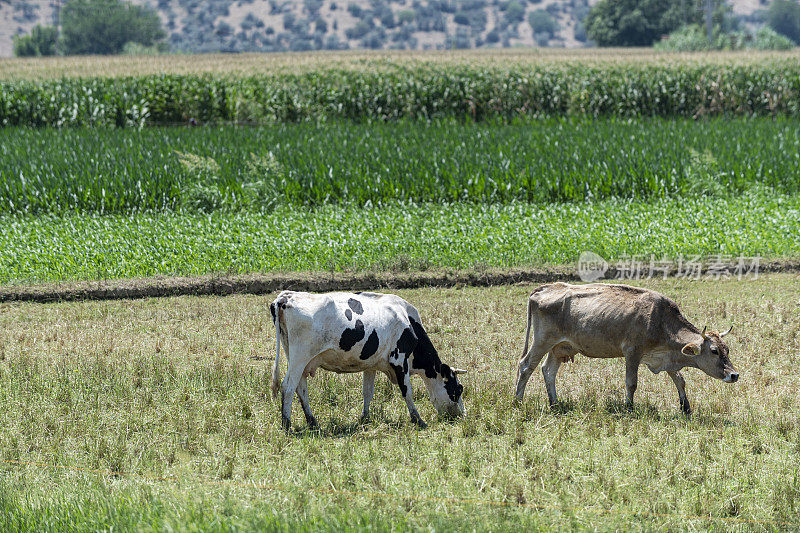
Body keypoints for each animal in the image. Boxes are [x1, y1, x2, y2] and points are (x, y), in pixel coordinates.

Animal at [272, 288, 466, 430]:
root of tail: (287, 296)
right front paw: (418, 419)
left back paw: (312, 421)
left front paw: (364, 418)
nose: (461, 416)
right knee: (288, 387)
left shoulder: (371, 365)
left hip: (297, 358)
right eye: (458, 389)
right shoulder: (399, 360)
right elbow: (407, 392)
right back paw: (286, 424)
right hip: (300, 357)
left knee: (301, 388)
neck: (406, 319)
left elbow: (368, 392)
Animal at [516, 280, 740, 414]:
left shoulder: (666, 358)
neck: (660, 321)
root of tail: (545, 287)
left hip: (560, 347)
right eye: (714, 351)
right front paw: (629, 407)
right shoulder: (632, 352)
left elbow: (680, 381)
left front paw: (686, 408)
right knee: (526, 366)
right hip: (542, 341)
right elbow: (631, 382)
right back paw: (517, 400)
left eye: (727, 350)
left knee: (548, 371)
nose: (734, 375)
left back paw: (555, 403)